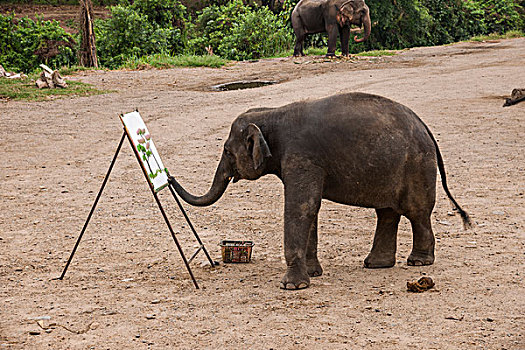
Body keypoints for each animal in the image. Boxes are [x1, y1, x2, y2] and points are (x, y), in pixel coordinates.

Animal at [169, 92, 470, 290]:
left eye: (227, 152)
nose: (169, 177)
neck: (272, 113)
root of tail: (426, 128)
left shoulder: (302, 156)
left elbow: (301, 206)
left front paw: (293, 287)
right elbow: (310, 208)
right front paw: (313, 274)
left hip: (417, 164)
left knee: (417, 212)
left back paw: (418, 263)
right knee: (387, 212)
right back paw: (376, 264)